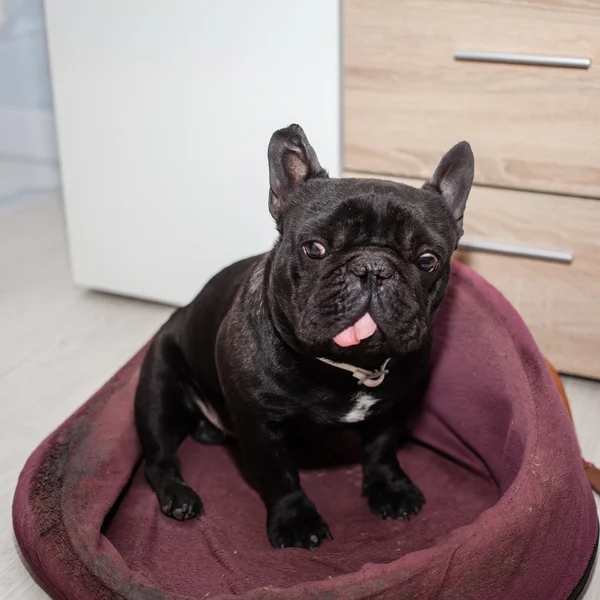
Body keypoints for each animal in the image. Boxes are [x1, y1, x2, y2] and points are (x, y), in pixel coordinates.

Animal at [135, 124, 474, 552]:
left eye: (428, 260)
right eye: (314, 249)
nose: (373, 268)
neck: (348, 368)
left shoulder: (392, 408)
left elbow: (382, 450)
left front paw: (390, 489)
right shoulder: (260, 427)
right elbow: (279, 477)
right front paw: (296, 520)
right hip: (157, 387)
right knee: (158, 457)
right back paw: (178, 496)